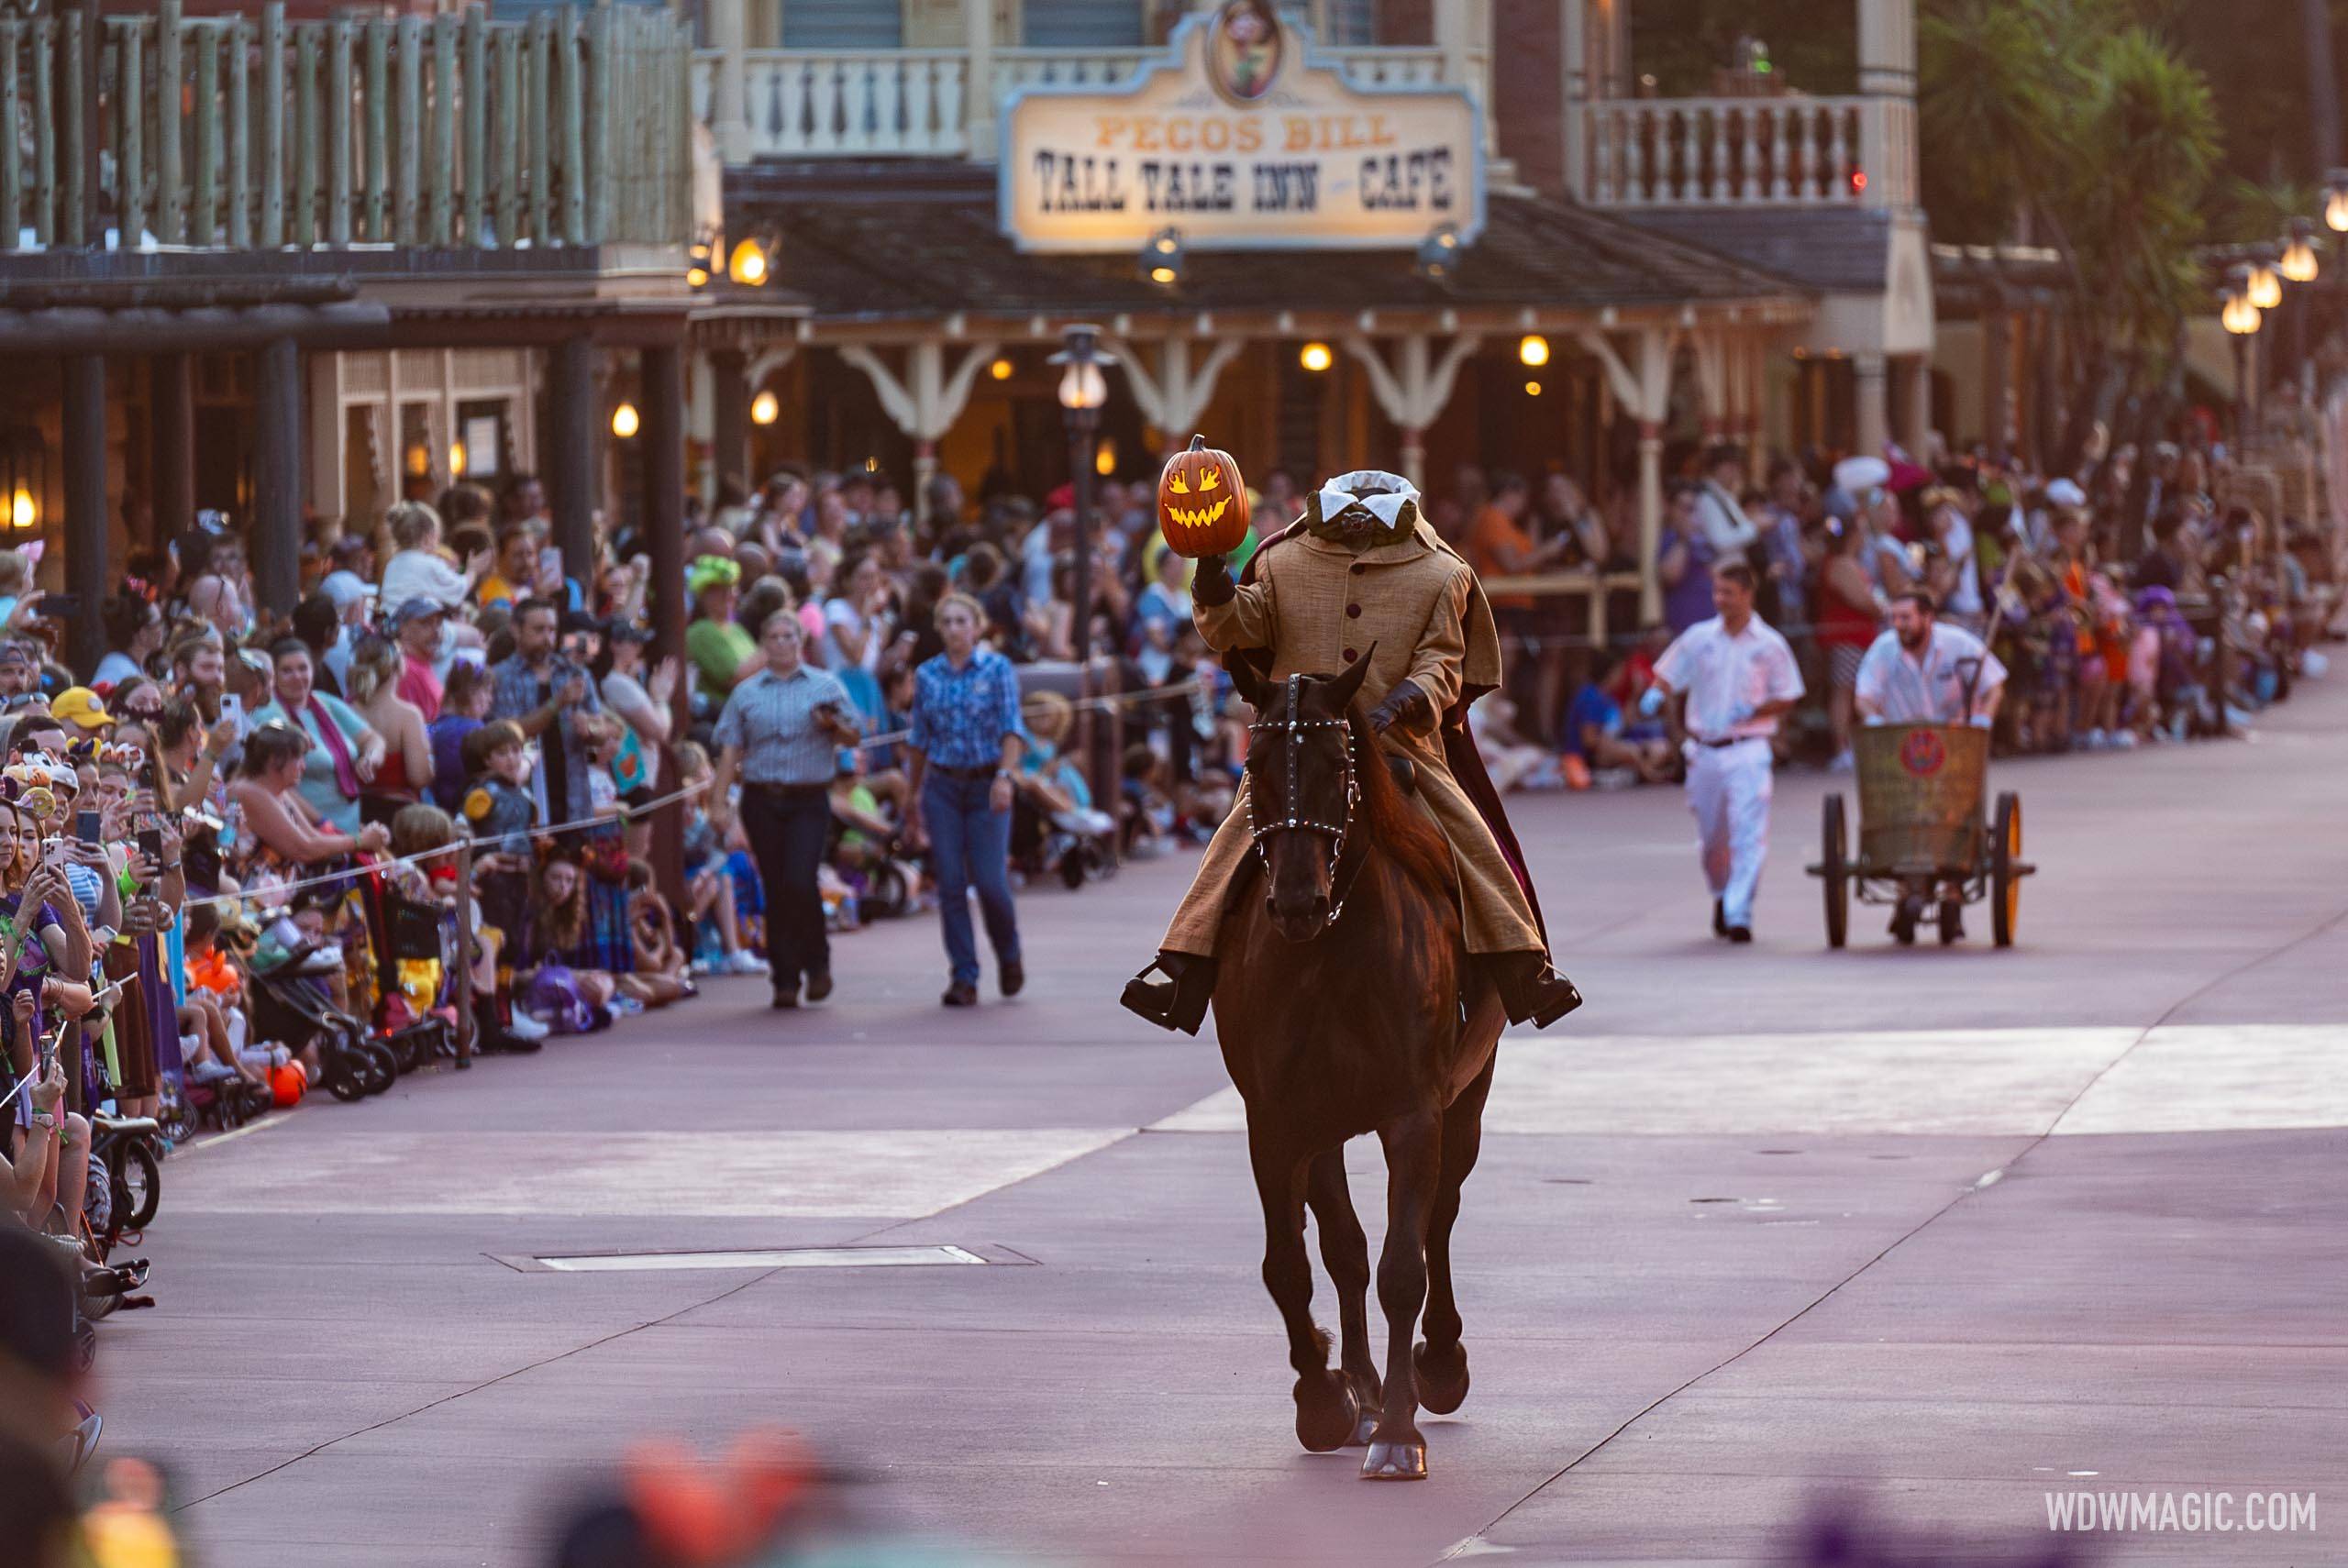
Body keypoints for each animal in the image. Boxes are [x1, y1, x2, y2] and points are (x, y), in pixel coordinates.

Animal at [1211, 657, 1502, 1483]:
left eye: (1338, 766)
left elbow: (1406, 1264)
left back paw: (1436, 1364)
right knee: (1344, 1250)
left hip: (1464, 1104)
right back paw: (1364, 1391)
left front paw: (1400, 1431)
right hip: (1326, 1126)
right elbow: (1292, 1265)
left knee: (1438, 1220)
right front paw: (1325, 1398)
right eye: (1252, 765)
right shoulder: (1278, 1124)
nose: (1297, 902)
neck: (1328, 956)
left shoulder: (1414, 1113)